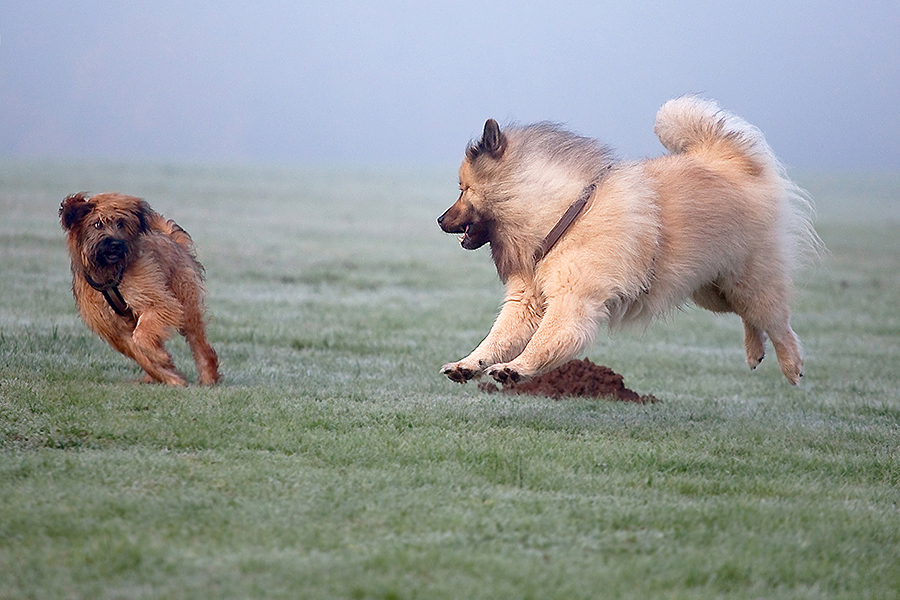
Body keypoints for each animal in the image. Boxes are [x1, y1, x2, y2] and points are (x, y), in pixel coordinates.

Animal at [59, 195, 220, 386]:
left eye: (121, 223)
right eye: (97, 224)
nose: (115, 244)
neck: (109, 273)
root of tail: (171, 239)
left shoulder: (158, 302)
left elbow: (141, 337)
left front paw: (162, 359)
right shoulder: (115, 330)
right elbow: (140, 353)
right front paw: (169, 375)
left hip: (187, 305)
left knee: (199, 343)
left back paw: (208, 377)